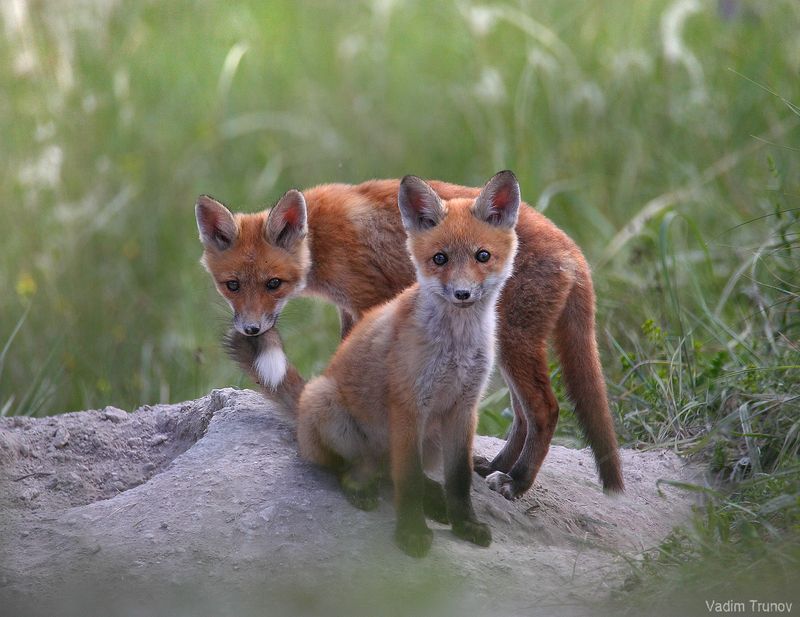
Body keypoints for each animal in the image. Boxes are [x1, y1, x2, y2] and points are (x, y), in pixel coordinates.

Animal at [196, 174, 624, 500]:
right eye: (232, 285)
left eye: (273, 284)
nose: (251, 329)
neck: (321, 239)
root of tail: (574, 250)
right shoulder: (348, 309)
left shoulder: (371, 298)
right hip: (502, 343)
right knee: (522, 415)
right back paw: (494, 465)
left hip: (516, 343)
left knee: (546, 410)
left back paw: (517, 482)